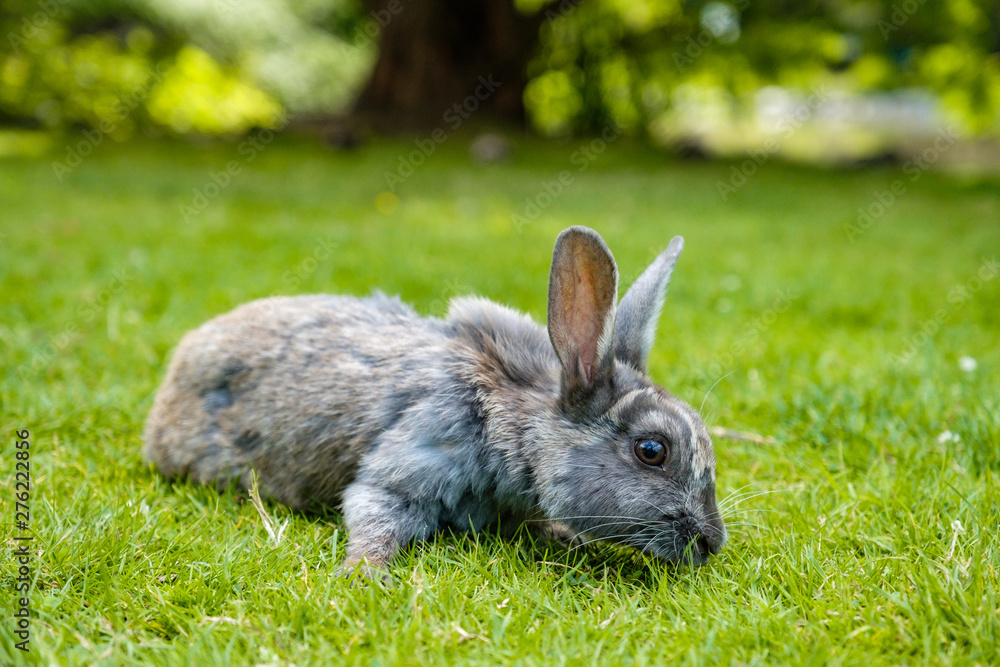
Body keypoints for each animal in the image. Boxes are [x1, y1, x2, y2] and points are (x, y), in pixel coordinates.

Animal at [144, 226, 726, 577]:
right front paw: (363, 575)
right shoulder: (410, 462)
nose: (712, 543)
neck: (512, 422)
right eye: (652, 450)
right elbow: (374, 510)